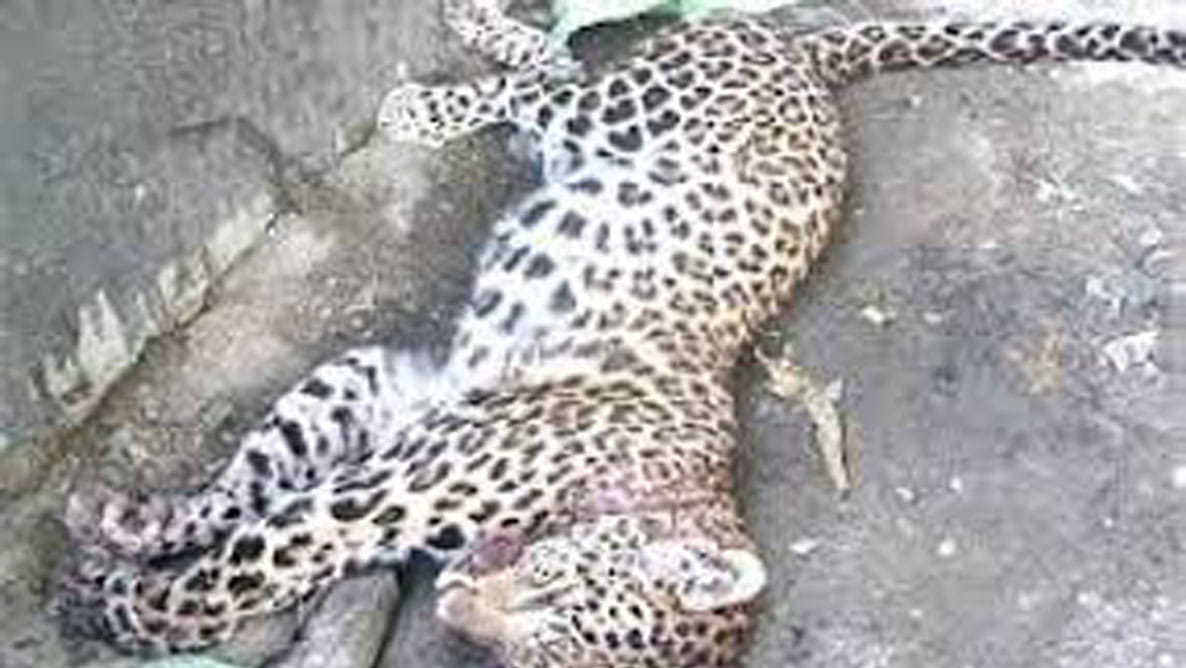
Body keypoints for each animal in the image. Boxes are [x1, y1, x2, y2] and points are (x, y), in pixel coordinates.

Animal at [57, 0, 1185, 666]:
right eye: (555, 589)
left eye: (534, 656)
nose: (459, 608)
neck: (661, 489)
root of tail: (803, 61)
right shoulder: (378, 490)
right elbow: (230, 566)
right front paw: (106, 601)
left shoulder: (386, 392)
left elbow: (245, 489)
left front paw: (122, 530)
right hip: (631, 109)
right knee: (549, 80)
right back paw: (434, 81)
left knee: (546, 83)